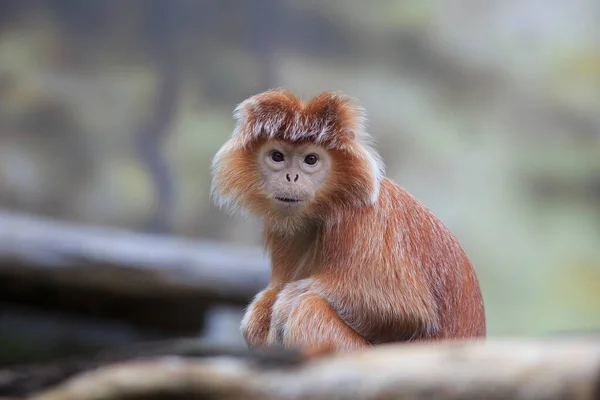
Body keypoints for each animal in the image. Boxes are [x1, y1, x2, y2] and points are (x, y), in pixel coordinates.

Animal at [211, 89, 488, 352]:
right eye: (277, 156)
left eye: (311, 160)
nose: (291, 177)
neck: (330, 206)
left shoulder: (364, 220)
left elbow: (406, 311)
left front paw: (283, 304)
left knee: (308, 309)